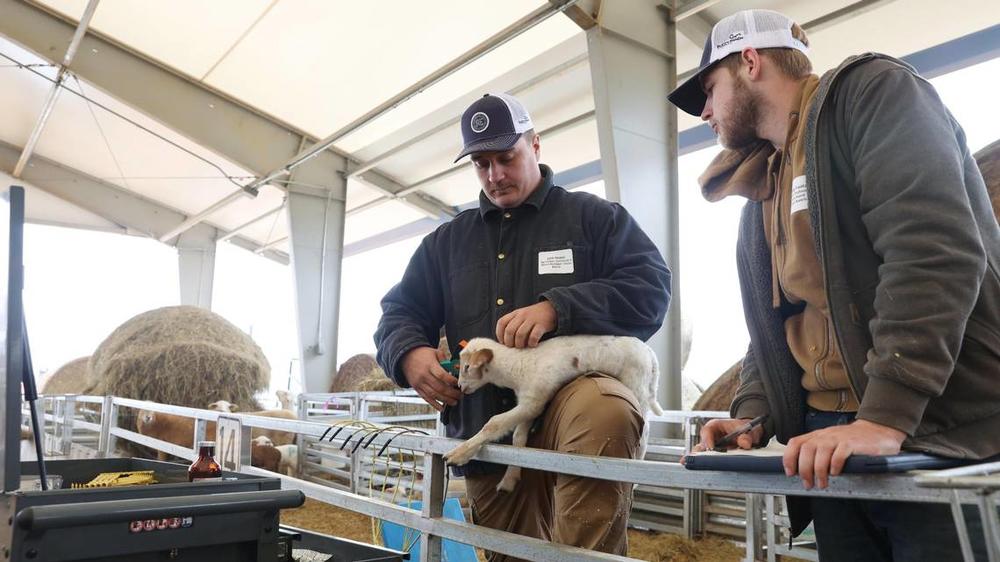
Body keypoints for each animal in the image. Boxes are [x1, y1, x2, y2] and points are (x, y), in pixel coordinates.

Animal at [446, 332, 664, 490]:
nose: (461, 387)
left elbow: (494, 423)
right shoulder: (529, 403)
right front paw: (510, 479)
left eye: (466, 367)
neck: (517, 366)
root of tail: (650, 354)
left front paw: (457, 454)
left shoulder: (534, 400)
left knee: (645, 430)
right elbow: (518, 438)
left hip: (636, 385)